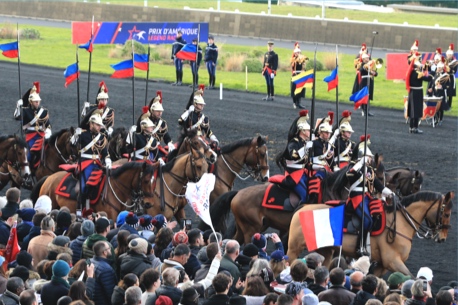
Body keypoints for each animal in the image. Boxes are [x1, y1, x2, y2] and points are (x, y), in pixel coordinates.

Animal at [288, 190, 452, 276]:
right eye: (446, 213)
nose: (443, 238)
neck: (400, 222)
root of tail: (303, 208)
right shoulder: (393, 261)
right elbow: (411, 277)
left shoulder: (383, 265)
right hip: (294, 249)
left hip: (327, 251)